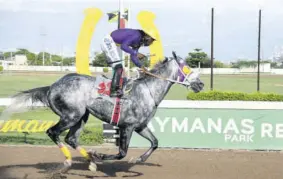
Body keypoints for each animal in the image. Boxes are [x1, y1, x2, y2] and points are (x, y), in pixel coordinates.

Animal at [3, 51, 205, 172]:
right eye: (187, 67)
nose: (201, 84)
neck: (148, 90)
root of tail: (51, 87)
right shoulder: (127, 126)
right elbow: (122, 152)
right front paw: (101, 155)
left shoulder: (140, 126)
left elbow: (155, 143)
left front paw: (137, 160)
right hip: (71, 115)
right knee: (53, 132)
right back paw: (70, 161)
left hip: (81, 116)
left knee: (71, 138)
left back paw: (91, 162)